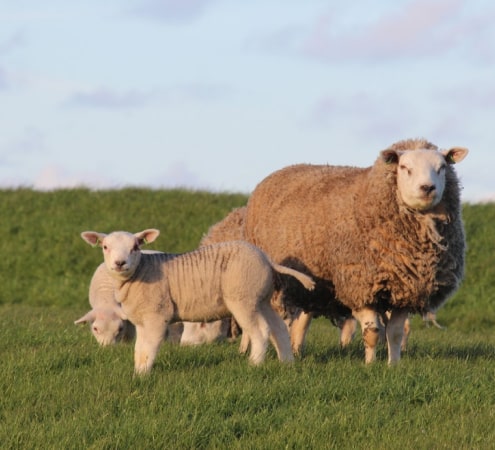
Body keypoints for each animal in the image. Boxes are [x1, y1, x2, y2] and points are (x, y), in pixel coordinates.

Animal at [80, 229, 316, 372]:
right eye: (105, 247)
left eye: (136, 247)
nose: (120, 263)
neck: (141, 272)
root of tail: (266, 258)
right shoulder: (141, 321)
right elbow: (139, 349)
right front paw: (138, 371)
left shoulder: (157, 314)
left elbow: (150, 346)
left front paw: (144, 375)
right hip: (261, 298)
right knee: (278, 329)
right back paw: (287, 363)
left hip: (243, 297)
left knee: (260, 331)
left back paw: (254, 365)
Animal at [246, 138, 470, 366]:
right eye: (404, 168)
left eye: (442, 168)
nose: (427, 188)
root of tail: (283, 170)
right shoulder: (359, 284)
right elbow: (372, 333)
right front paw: (370, 365)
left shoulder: (405, 289)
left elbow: (395, 333)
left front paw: (393, 365)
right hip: (278, 282)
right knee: (277, 321)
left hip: (312, 286)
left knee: (302, 321)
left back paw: (296, 351)